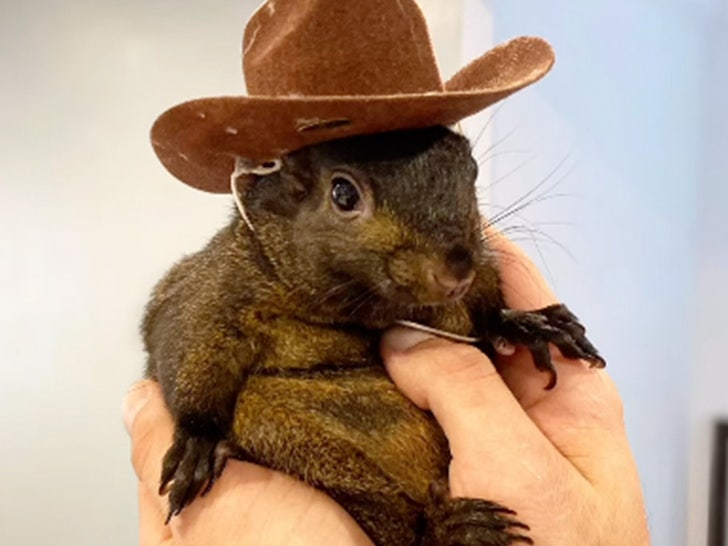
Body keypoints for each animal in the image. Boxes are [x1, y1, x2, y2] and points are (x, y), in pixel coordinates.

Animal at [142, 125, 605, 546]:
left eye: (471, 170)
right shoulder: (215, 288)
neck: (363, 309)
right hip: (283, 432)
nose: (456, 271)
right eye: (343, 194)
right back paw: (448, 529)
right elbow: (188, 342)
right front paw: (198, 440)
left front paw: (526, 324)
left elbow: (486, 313)